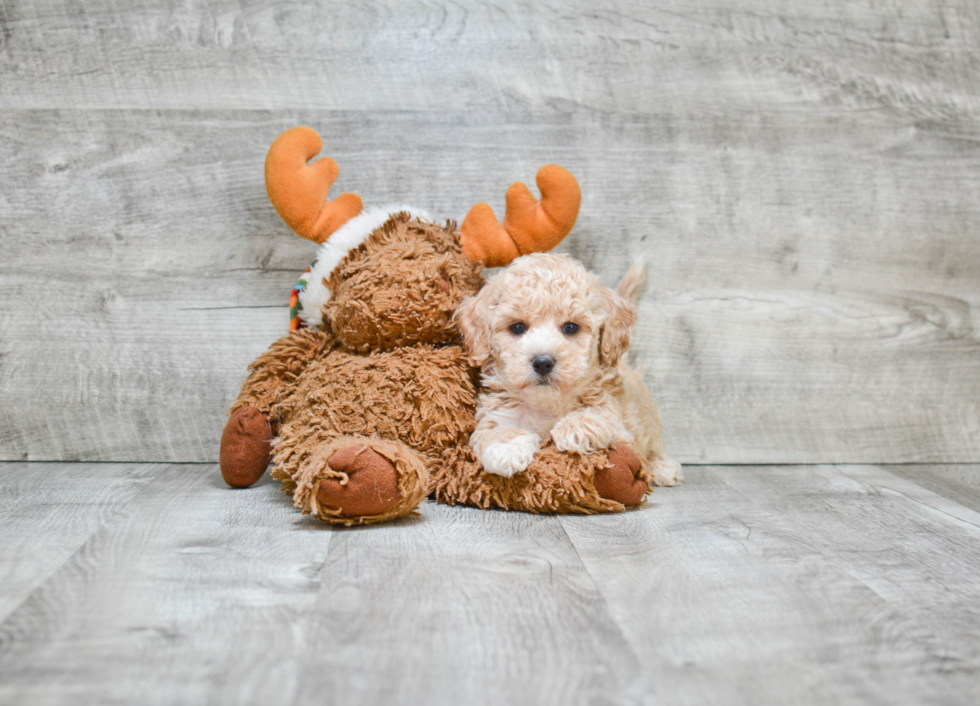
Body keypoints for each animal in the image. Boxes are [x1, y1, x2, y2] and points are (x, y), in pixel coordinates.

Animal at [458, 250, 680, 486]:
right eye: (517, 327)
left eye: (571, 327)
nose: (543, 362)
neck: (546, 405)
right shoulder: (495, 414)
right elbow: (495, 430)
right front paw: (506, 448)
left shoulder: (620, 426)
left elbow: (603, 417)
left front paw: (576, 426)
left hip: (651, 427)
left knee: (654, 448)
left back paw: (662, 467)